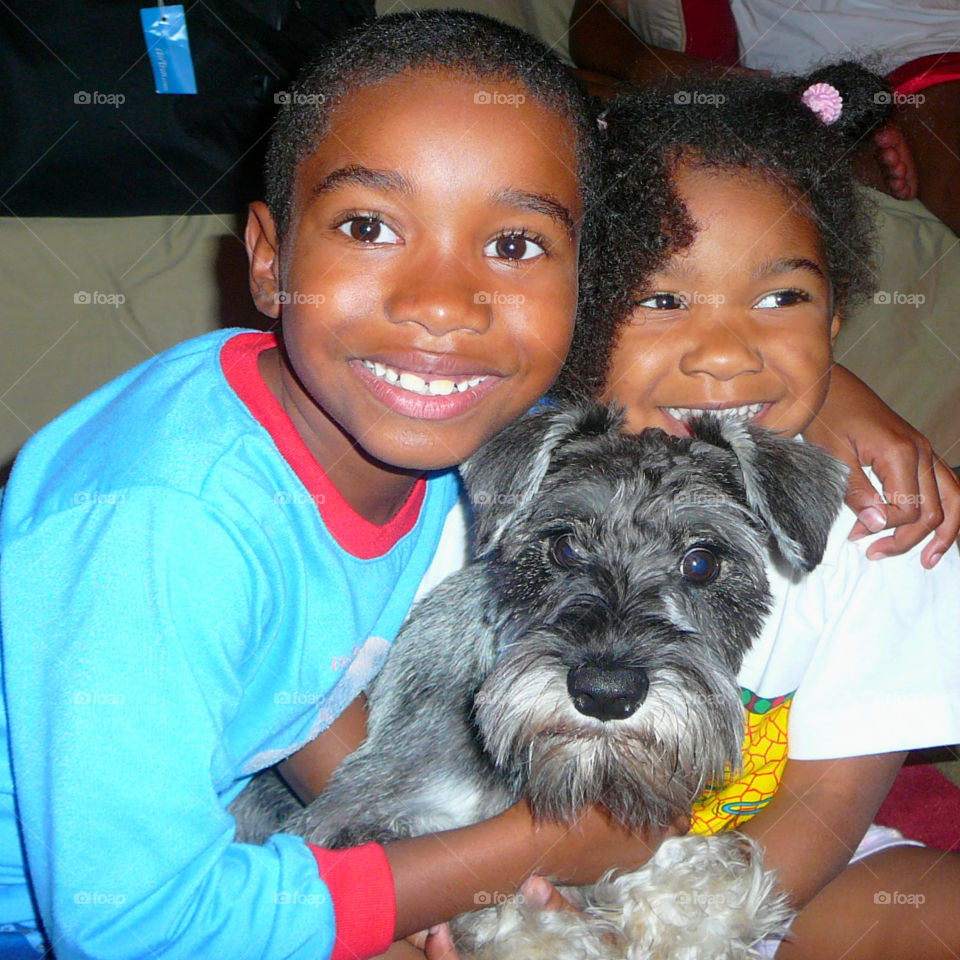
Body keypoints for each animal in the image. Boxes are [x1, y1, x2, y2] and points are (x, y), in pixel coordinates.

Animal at [232, 402, 848, 956]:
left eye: (702, 562)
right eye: (564, 545)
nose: (606, 692)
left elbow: (703, 892)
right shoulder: (346, 825)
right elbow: (507, 911)